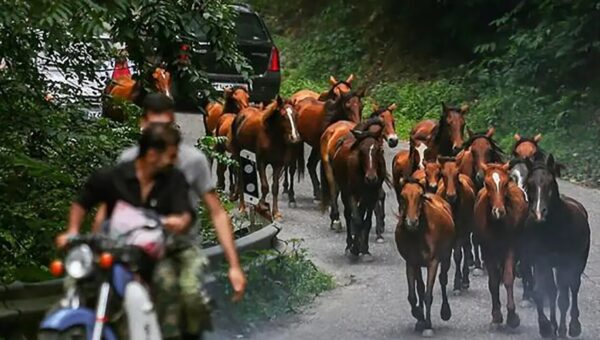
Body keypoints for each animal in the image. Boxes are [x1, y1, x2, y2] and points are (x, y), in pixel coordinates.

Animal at [322, 118, 386, 258]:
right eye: (361, 150)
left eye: (379, 150)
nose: (371, 178)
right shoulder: (351, 194)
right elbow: (356, 220)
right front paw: (354, 248)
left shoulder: (372, 196)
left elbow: (366, 222)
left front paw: (365, 248)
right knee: (347, 213)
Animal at [394, 179, 454, 336]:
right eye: (402, 196)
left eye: (420, 196)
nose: (412, 222)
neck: (418, 235)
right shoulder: (411, 262)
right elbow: (413, 295)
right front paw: (419, 316)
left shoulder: (433, 262)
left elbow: (428, 293)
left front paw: (427, 325)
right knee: (420, 287)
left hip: (446, 257)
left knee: (443, 279)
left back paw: (445, 312)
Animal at [434, 157, 476, 292]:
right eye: (443, 175)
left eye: (456, 174)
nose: (451, 195)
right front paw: (443, 276)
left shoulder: (462, 232)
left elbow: (458, 255)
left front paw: (457, 283)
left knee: (466, 249)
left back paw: (465, 279)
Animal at [474, 162, 524, 330]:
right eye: (487, 184)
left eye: (505, 183)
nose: (498, 211)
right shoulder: (487, 249)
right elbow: (493, 281)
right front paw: (496, 315)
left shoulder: (511, 247)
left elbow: (508, 278)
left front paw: (512, 316)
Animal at [524, 153, 592, 338]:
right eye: (529, 184)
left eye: (550, 183)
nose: (539, 213)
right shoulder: (541, 261)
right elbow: (543, 292)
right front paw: (546, 326)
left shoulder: (566, 263)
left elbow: (564, 298)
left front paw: (564, 329)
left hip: (578, 262)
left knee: (573, 288)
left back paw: (573, 326)